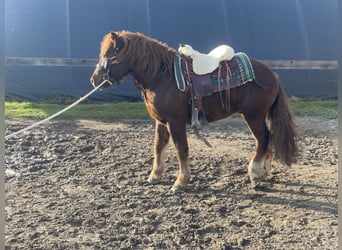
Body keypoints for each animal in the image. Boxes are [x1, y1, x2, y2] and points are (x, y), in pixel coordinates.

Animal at [89, 30, 298, 191]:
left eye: (108, 54)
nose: (94, 80)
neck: (163, 76)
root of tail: (273, 75)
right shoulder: (161, 121)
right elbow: (158, 146)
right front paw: (155, 175)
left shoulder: (175, 121)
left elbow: (181, 149)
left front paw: (180, 182)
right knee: (268, 138)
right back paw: (264, 172)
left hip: (253, 116)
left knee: (263, 139)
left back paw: (255, 174)